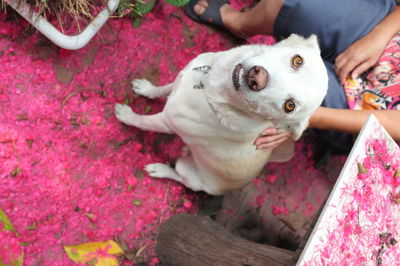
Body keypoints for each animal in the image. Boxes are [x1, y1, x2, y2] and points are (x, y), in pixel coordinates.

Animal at [114, 33, 326, 195]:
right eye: (297, 60)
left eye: (289, 106)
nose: (257, 78)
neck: (212, 91)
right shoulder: (180, 80)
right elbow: (163, 89)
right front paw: (146, 89)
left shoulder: (166, 122)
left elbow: (142, 121)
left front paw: (126, 115)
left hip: (187, 172)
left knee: (179, 177)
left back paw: (159, 169)